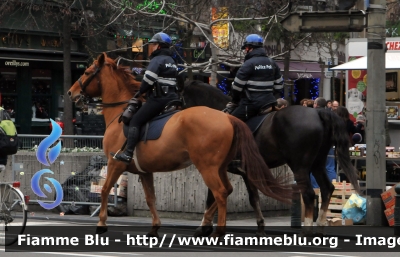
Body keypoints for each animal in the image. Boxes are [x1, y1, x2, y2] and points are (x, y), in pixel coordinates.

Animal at [65, 53, 290, 237]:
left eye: (86, 72)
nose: (70, 92)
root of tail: (228, 118)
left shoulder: (115, 163)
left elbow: (104, 191)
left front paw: (101, 223)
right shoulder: (144, 172)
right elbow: (150, 198)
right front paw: (154, 227)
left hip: (207, 167)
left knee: (220, 193)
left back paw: (216, 231)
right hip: (220, 167)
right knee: (226, 190)